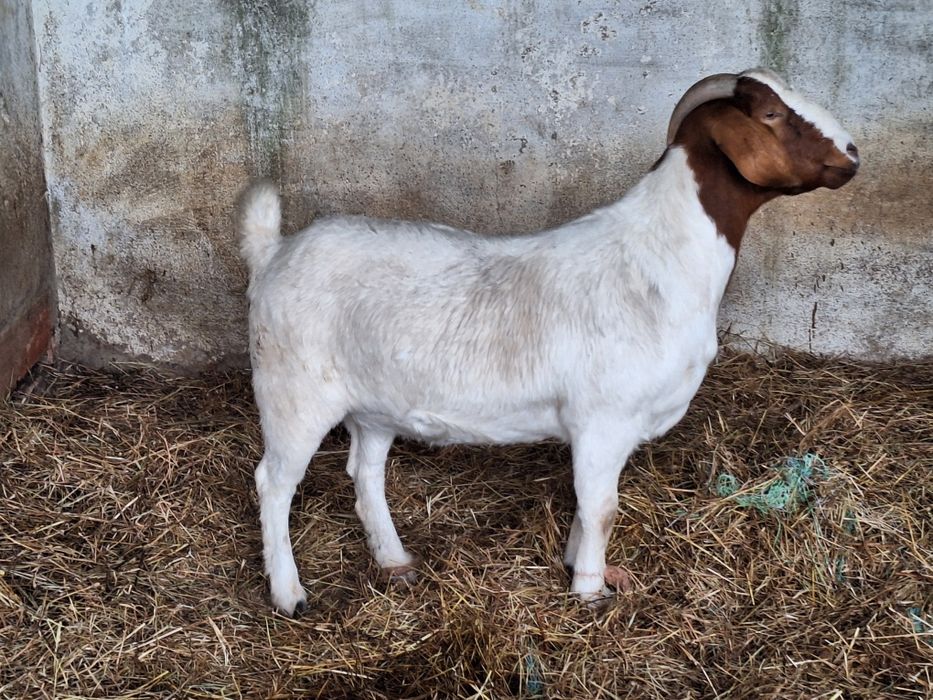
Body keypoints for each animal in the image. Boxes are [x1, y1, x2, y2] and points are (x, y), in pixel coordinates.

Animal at [237, 69, 859, 615]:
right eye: (772, 115)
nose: (852, 154)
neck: (661, 260)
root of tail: (273, 252)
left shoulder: (605, 430)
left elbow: (588, 505)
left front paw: (576, 562)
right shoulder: (605, 418)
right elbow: (603, 507)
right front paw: (589, 592)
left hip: (373, 403)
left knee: (364, 471)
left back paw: (394, 562)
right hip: (293, 392)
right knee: (273, 483)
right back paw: (289, 594)